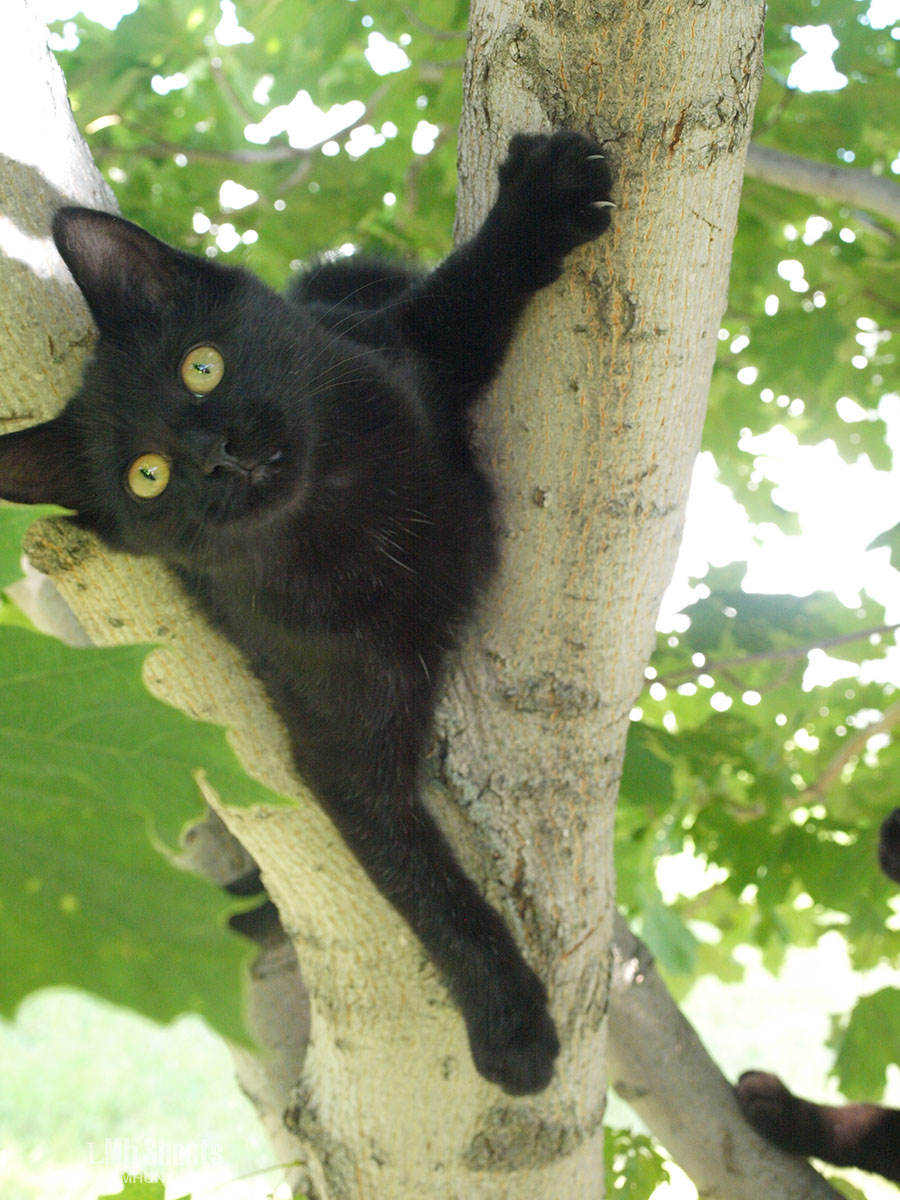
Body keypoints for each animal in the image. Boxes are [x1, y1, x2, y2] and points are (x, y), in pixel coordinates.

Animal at [0, 131, 614, 1094]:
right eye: (147, 476)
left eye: (202, 366)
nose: (216, 456)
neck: (345, 508)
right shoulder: (341, 742)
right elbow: (422, 886)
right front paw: (511, 1027)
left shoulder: (393, 349)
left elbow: (463, 295)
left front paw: (541, 201)